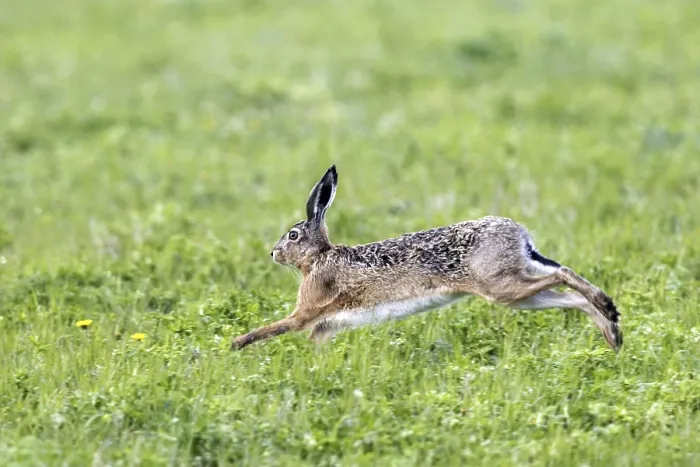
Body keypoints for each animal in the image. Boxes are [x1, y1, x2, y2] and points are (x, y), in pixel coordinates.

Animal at [231, 165, 622, 352]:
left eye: (293, 235)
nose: (273, 253)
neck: (320, 257)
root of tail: (520, 235)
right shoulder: (326, 326)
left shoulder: (307, 312)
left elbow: (278, 327)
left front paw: (235, 345)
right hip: (517, 290)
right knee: (568, 292)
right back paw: (612, 331)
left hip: (500, 285)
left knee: (562, 274)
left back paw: (609, 311)